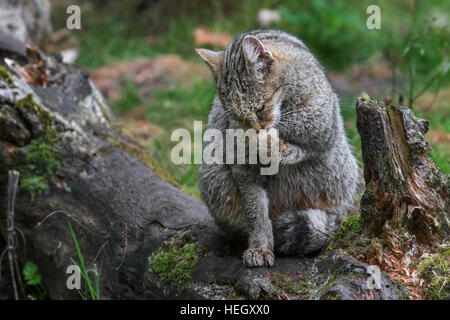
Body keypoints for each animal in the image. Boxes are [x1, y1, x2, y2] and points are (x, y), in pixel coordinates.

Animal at [195, 29, 356, 268]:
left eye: (260, 108)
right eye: (237, 117)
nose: (255, 128)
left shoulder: (323, 128)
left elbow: (297, 143)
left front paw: (272, 144)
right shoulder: (242, 168)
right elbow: (256, 212)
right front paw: (260, 246)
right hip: (213, 176)